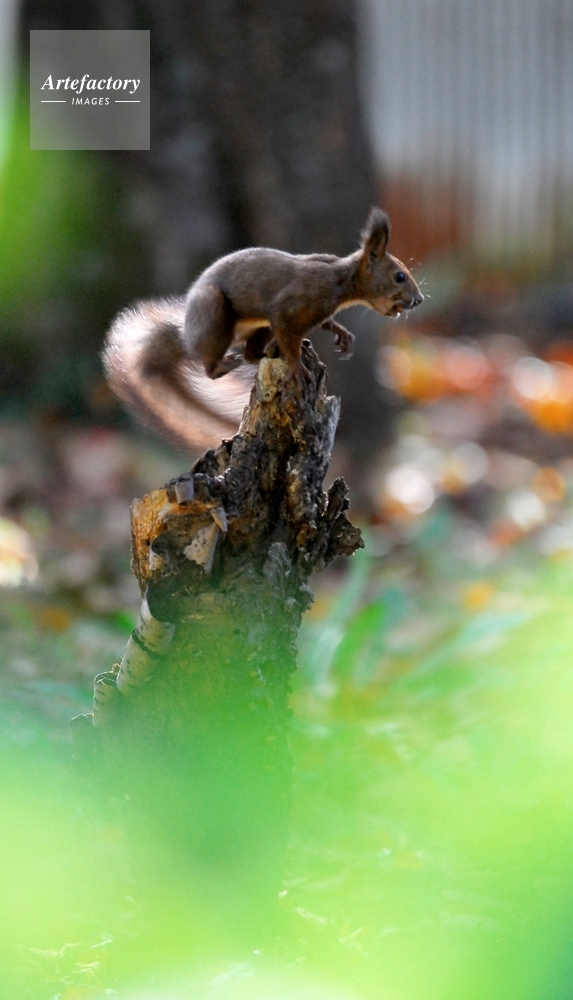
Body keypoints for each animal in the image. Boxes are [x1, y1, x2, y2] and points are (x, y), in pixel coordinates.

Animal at [103, 208, 423, 451]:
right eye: (399, 277)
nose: (418, 300)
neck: (340, 281)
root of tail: (186, 337)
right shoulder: (288, 307)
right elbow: (288, 332)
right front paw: (297, 369)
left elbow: (325, 324)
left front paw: (341, 334)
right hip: (215, 314)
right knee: (212, 366)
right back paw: (227, 363)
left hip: (258, 329)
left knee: (251, 353)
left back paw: (270, 352)